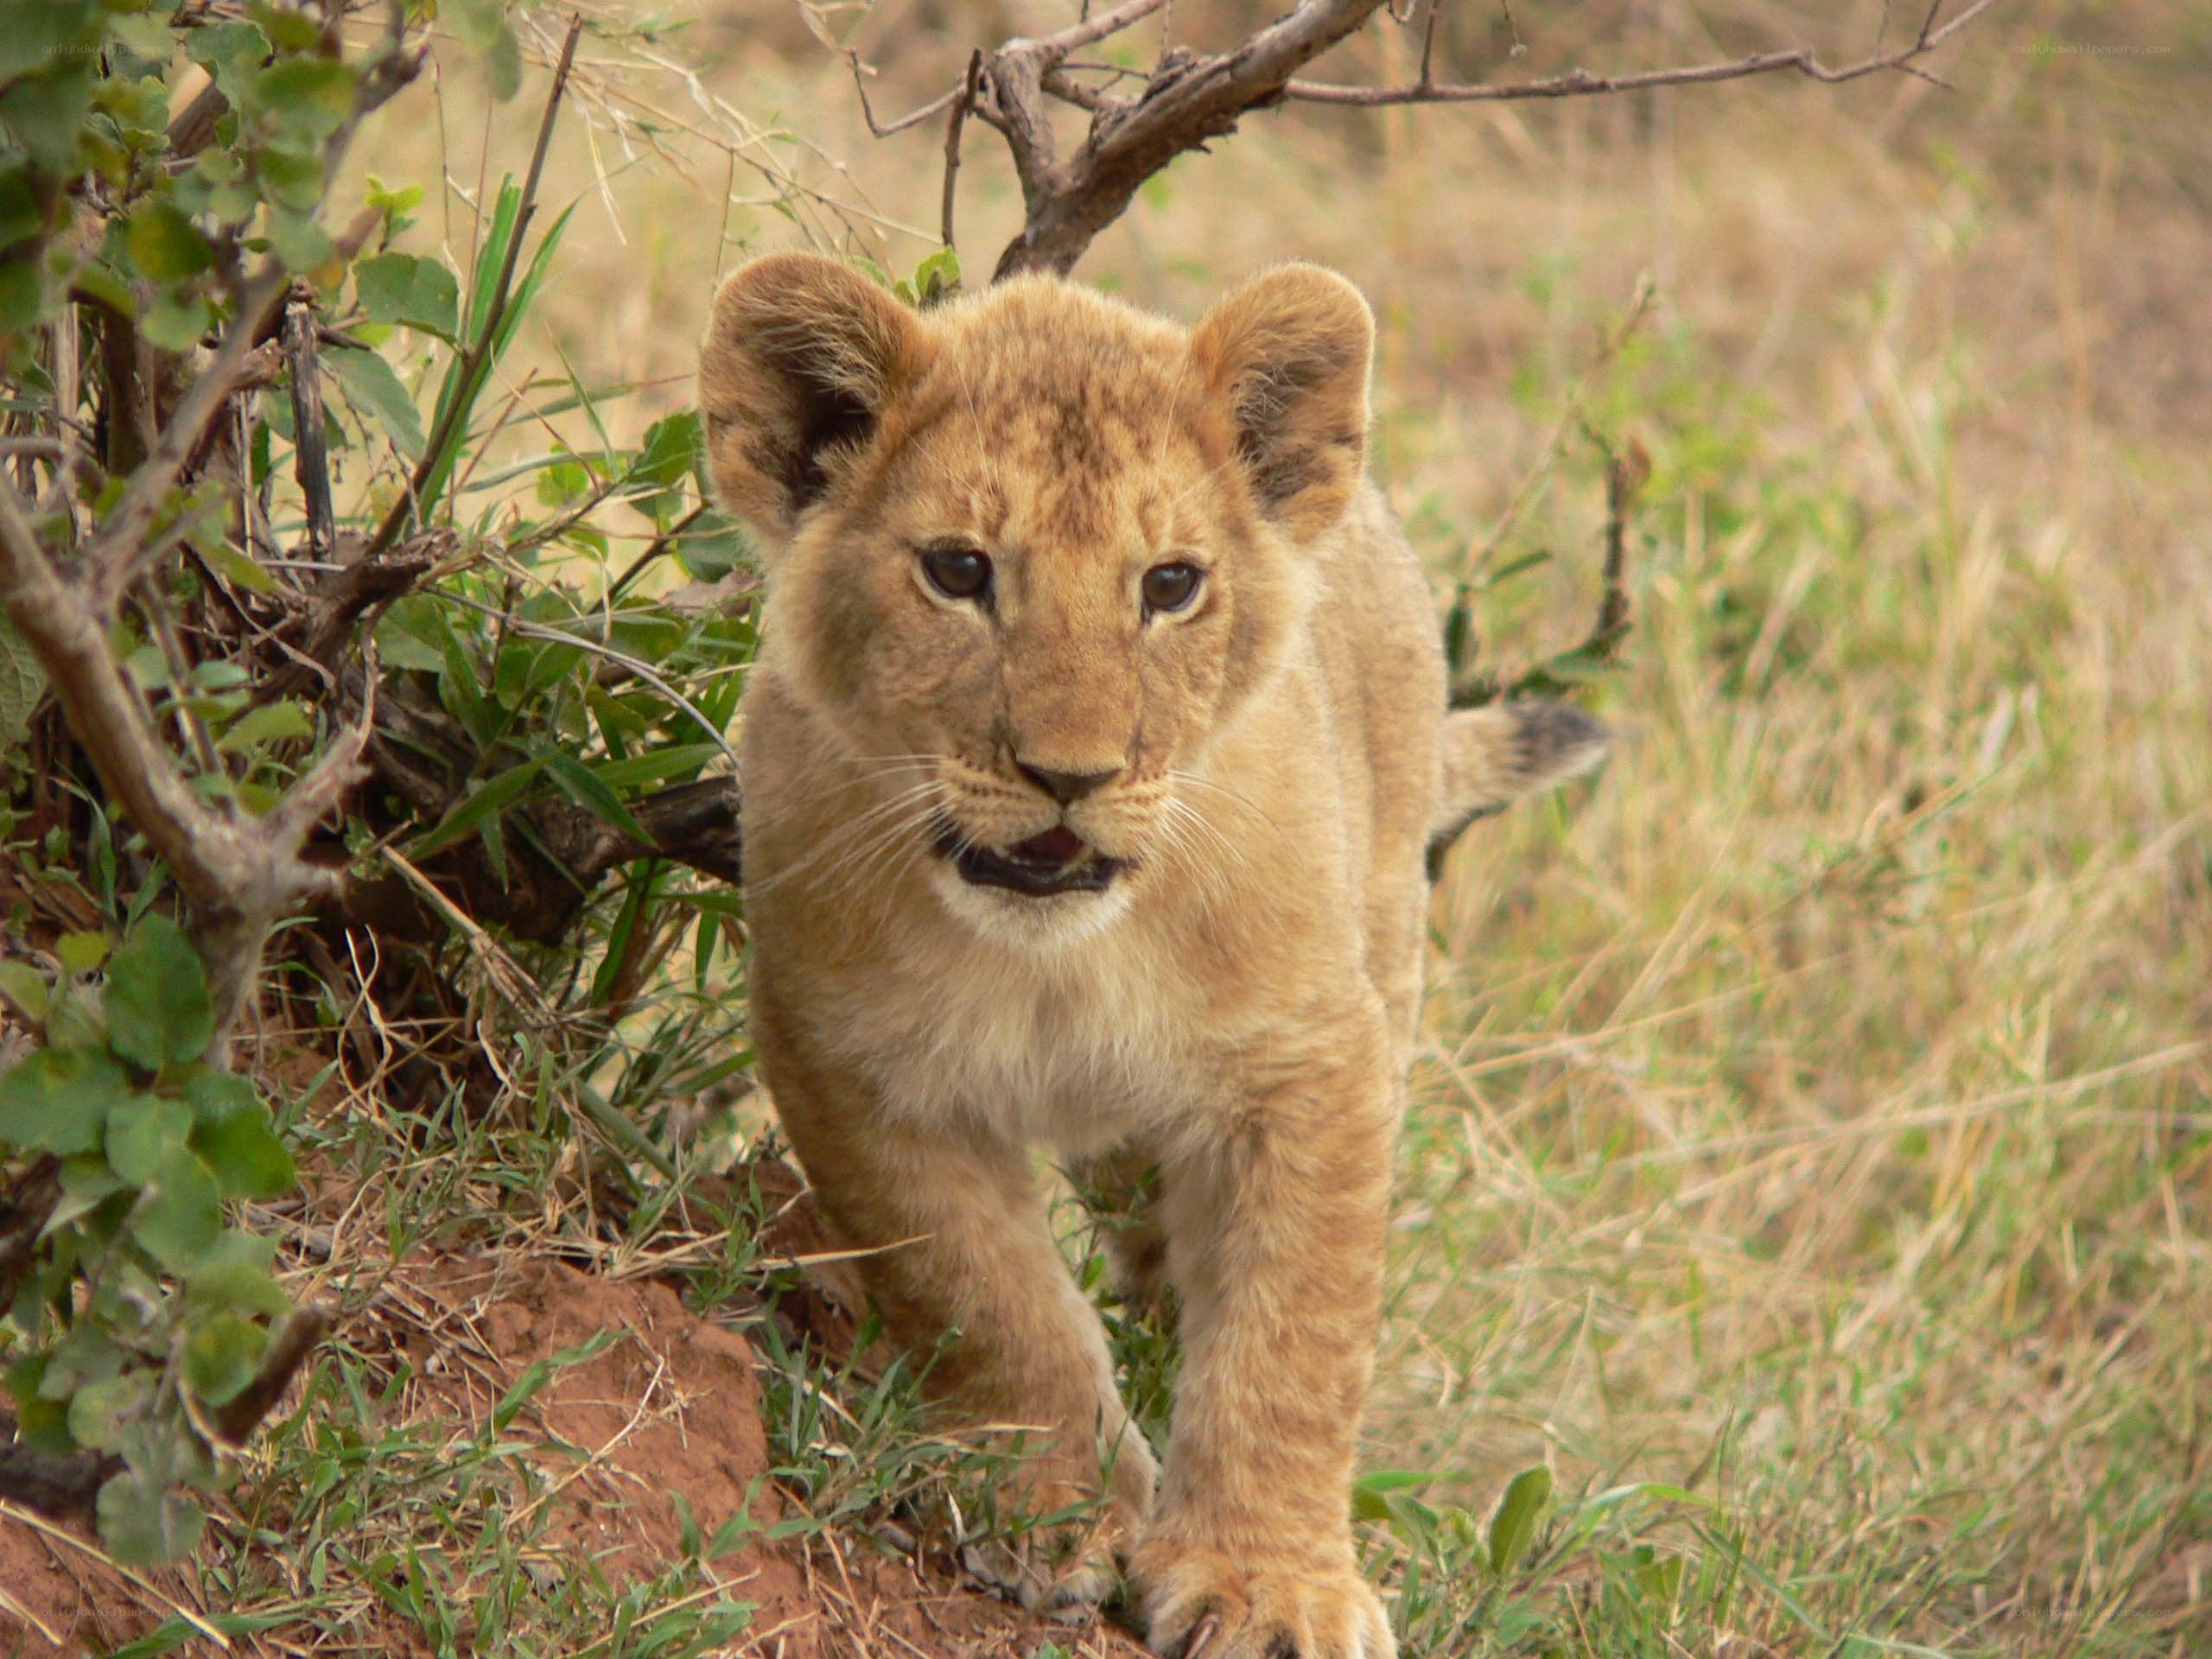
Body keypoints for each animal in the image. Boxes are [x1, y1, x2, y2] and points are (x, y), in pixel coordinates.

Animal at [698, 253, 1606, 1659]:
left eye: (1170, 585)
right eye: (958, 570)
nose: (1069, 777)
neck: (1057, 959)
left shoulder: (1311, 1062)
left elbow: (1293, 1329)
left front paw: (1266, 1581)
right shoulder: (845, 1058)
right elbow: (979, 1293)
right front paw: (1054, 1509)